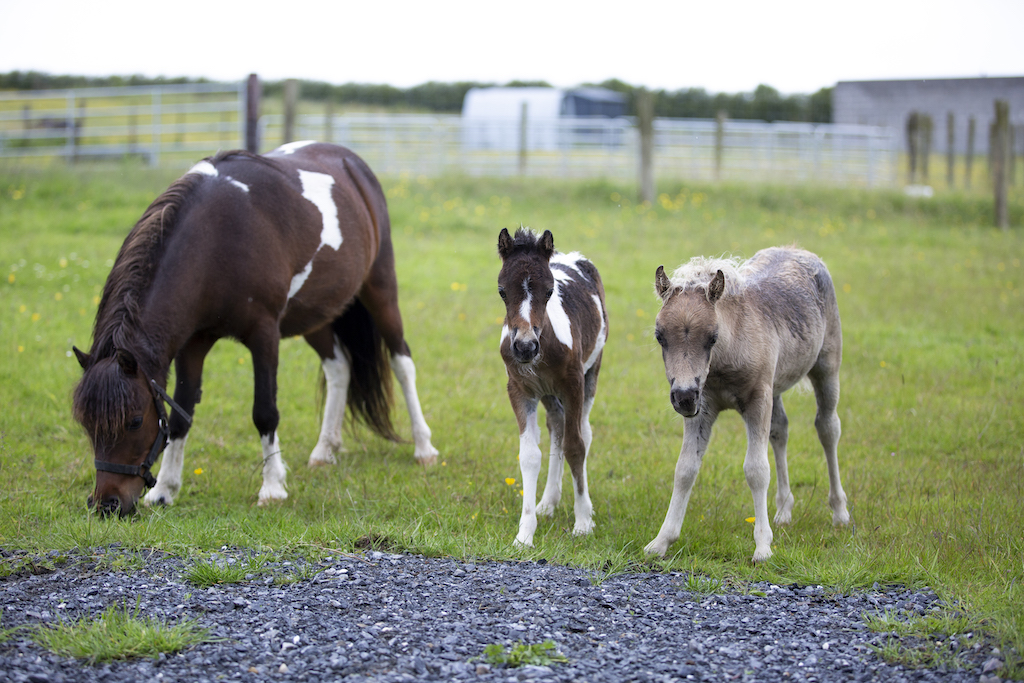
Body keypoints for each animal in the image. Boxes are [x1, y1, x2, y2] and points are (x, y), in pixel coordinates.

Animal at [72, 141, 439, 517]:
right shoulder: (193, 342)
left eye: (133, 420)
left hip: (380, 290)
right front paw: (164, 490)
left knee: (402, 363)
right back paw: (325, 450)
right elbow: (180, 416)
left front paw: (273, 487)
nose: (107, 504)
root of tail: (352, 162)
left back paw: (424, 447)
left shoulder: (264, 335)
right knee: (340, 369)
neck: (217, 237)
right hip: (316, 316)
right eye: (85, 423)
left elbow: (264, 412)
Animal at [496, 228, 608, 546]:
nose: (524, 347)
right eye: (502, 291)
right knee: (557, 426)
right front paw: (524, 534)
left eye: (549, 291)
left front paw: (583, 523)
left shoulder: (573, 385)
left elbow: (576, 446)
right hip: (548, 393)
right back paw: (548, 503)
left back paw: (583, 507)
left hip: (591, 372)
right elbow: (530, 454)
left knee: (582, 431)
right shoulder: (520, 390)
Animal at [643, 246, 850, 562]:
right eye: (660, 337)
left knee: (828, 428)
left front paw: (763, 546)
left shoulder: (757, 399)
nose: (683, 397)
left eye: (712, 337)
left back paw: (839, 511)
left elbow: (756, 470)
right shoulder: (703, 407)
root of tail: (798, 249)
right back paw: (784, 509)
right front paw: (661, 541)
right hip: (775, 388)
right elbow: (685, 469)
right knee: (780, 430)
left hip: (826, 368)